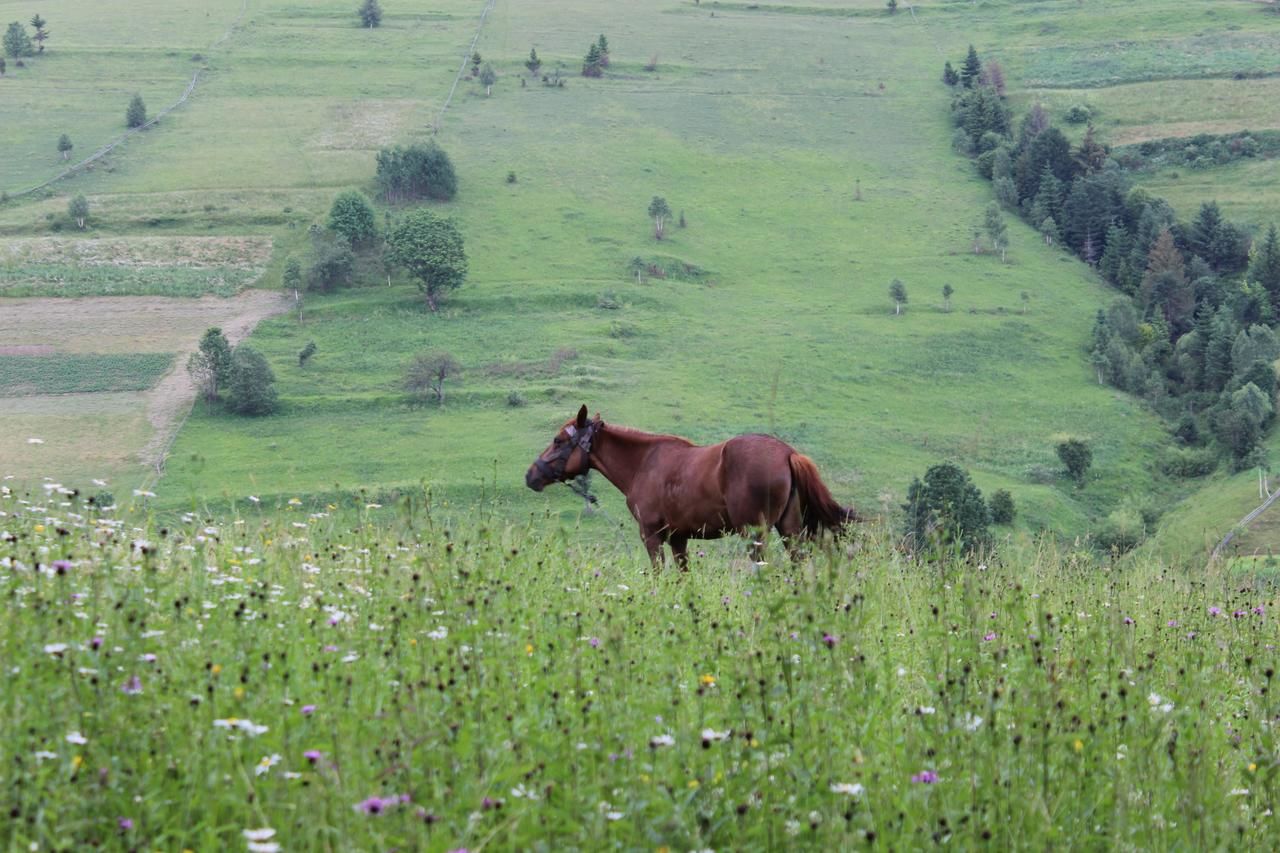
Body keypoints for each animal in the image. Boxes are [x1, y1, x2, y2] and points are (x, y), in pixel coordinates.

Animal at [529, 404, 860, 563]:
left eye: (558, 440)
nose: (531, 475)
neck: (644, 463)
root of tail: (788, 453)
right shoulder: (679, 539)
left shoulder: (651, 536)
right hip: (789, 530)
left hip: (757, 533)